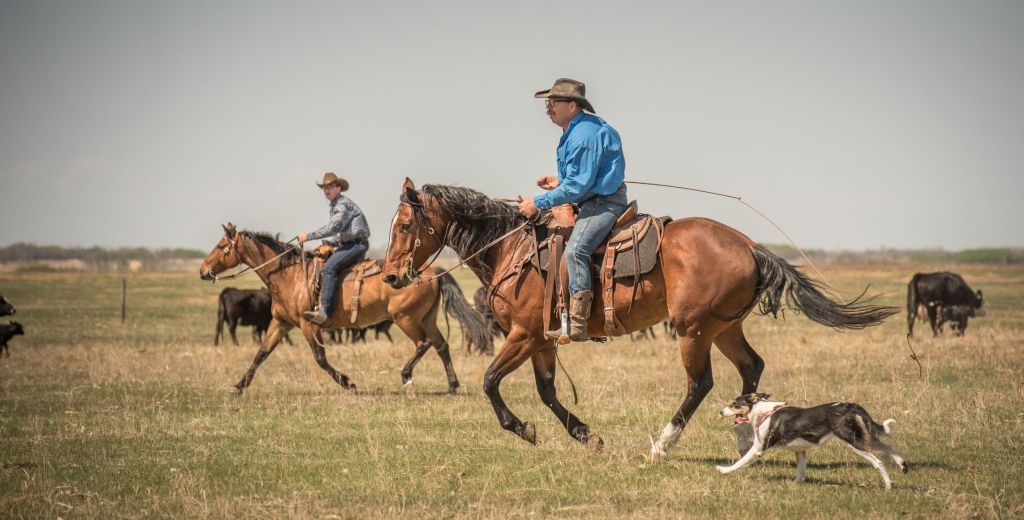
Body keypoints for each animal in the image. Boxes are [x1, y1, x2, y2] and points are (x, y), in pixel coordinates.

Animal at [199, 223, 492, 395]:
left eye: (221, 246)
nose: (203, 270)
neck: (290, 276)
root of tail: (433, 271)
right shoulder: (281, 323)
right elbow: (261, 353)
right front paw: (239, 386)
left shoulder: (308, 324)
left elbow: (320, 359)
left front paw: (348, 383)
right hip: (426, 317)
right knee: (441, 345)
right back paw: (452, 385)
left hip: (405, 317)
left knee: (424, 344)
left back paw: (406, 376)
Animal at [382, 179, 898, 457]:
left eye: (405, 225)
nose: (389, 276)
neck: (511, 248)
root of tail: (749, 244)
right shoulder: (542, 340)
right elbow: (547, 392)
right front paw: (585, 435)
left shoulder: (524, 335)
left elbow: (490, 382)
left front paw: (523, 428)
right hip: (725, 328)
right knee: (751, 367)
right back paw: (744, 434)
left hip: (693, 330)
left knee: (700, 384)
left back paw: (663, 444)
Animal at [716, 393, 908, 490]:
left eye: (734, 404)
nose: (720, 412)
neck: (764, 412)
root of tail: (852, 405)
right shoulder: (800, 451)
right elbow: (800, 472)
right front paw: (795, 484)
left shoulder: (758, 448)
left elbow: (739, 462)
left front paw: (724, 470)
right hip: (863, 435)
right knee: (887, 446)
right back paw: (902, 465)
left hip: (852, 440)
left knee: (878, 461)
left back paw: (888, 485)